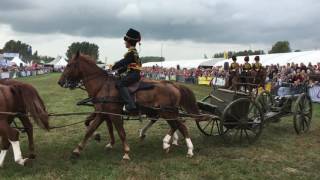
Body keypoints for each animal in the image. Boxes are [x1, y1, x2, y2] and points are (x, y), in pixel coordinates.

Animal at [57, 52, 199, 160]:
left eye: (69, 65)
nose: (60, 82)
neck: (103, 86)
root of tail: (173, 85)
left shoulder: (112, 115)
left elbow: (119, 132)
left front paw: (126, 152)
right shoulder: (103, 114)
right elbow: (91, 127)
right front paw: (84, 146)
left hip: (168, 112)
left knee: (181, 126)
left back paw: (186, 149)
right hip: (166, 113)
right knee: (176, 126)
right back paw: (169, 144)